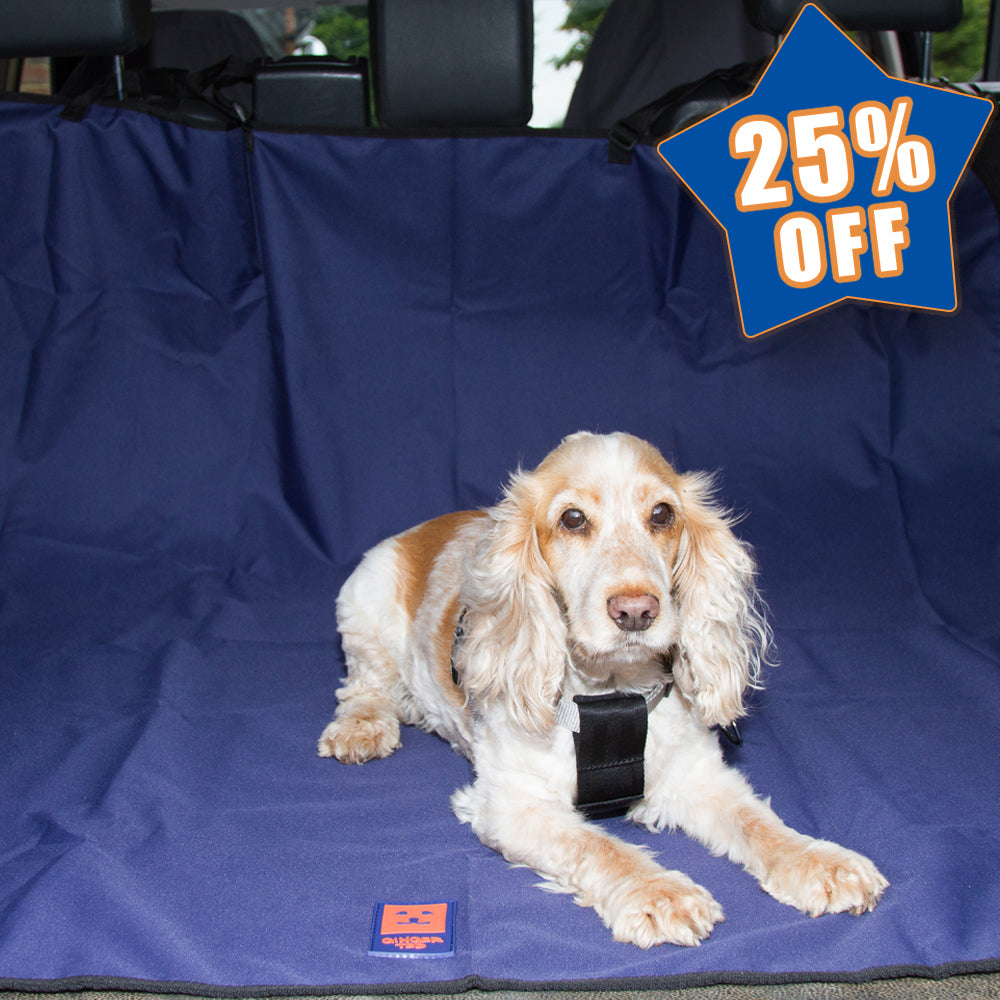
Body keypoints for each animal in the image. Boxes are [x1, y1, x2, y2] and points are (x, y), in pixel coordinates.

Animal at [318, 430, 884, 944]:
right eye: (572, 519)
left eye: (662, 514)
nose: (636, 610)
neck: (612, 694)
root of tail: (423, 528)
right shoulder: (513, 803)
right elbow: (597, 846)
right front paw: (661, 893)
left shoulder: (695, 774)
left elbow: (757, 822)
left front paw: (821, 862)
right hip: (362, 615)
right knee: (363, 687)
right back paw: (362, 729)